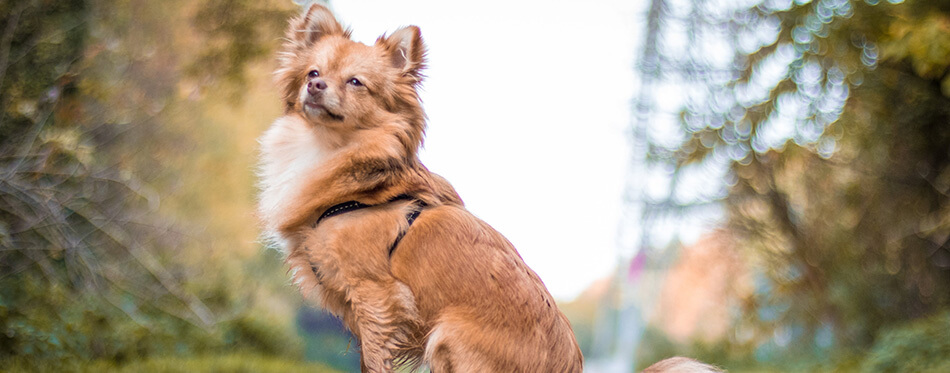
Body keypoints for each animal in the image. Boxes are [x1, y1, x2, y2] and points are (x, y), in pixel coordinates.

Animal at [260, 4, 588, 370]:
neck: (328, 149)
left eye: (356, 82)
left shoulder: (377, 297)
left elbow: (375, 360)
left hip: (446, 333)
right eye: (312, 72)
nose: (316, 85)